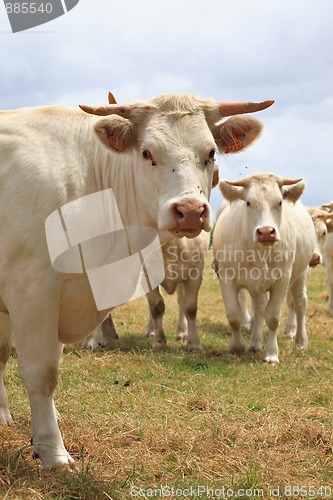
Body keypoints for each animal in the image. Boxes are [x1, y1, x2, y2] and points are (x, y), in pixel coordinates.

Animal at [0, 93, 272, 468]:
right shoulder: (34, 291)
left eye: (211, 153)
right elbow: (41, 373)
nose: (190, 211)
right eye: (146, 152)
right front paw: (53, 451)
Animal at [211, 172, 316, 364]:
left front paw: (272, 353)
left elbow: (273, 317)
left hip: (301, 273)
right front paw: (237, 346)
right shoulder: (227, 277)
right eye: (248, 202)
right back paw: (255, 342)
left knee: (300, 302)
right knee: (259, 307)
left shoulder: (282, 279)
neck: (259, 251)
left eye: (280, 202)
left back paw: (300, 340)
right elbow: (234, 315)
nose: (266, 232)